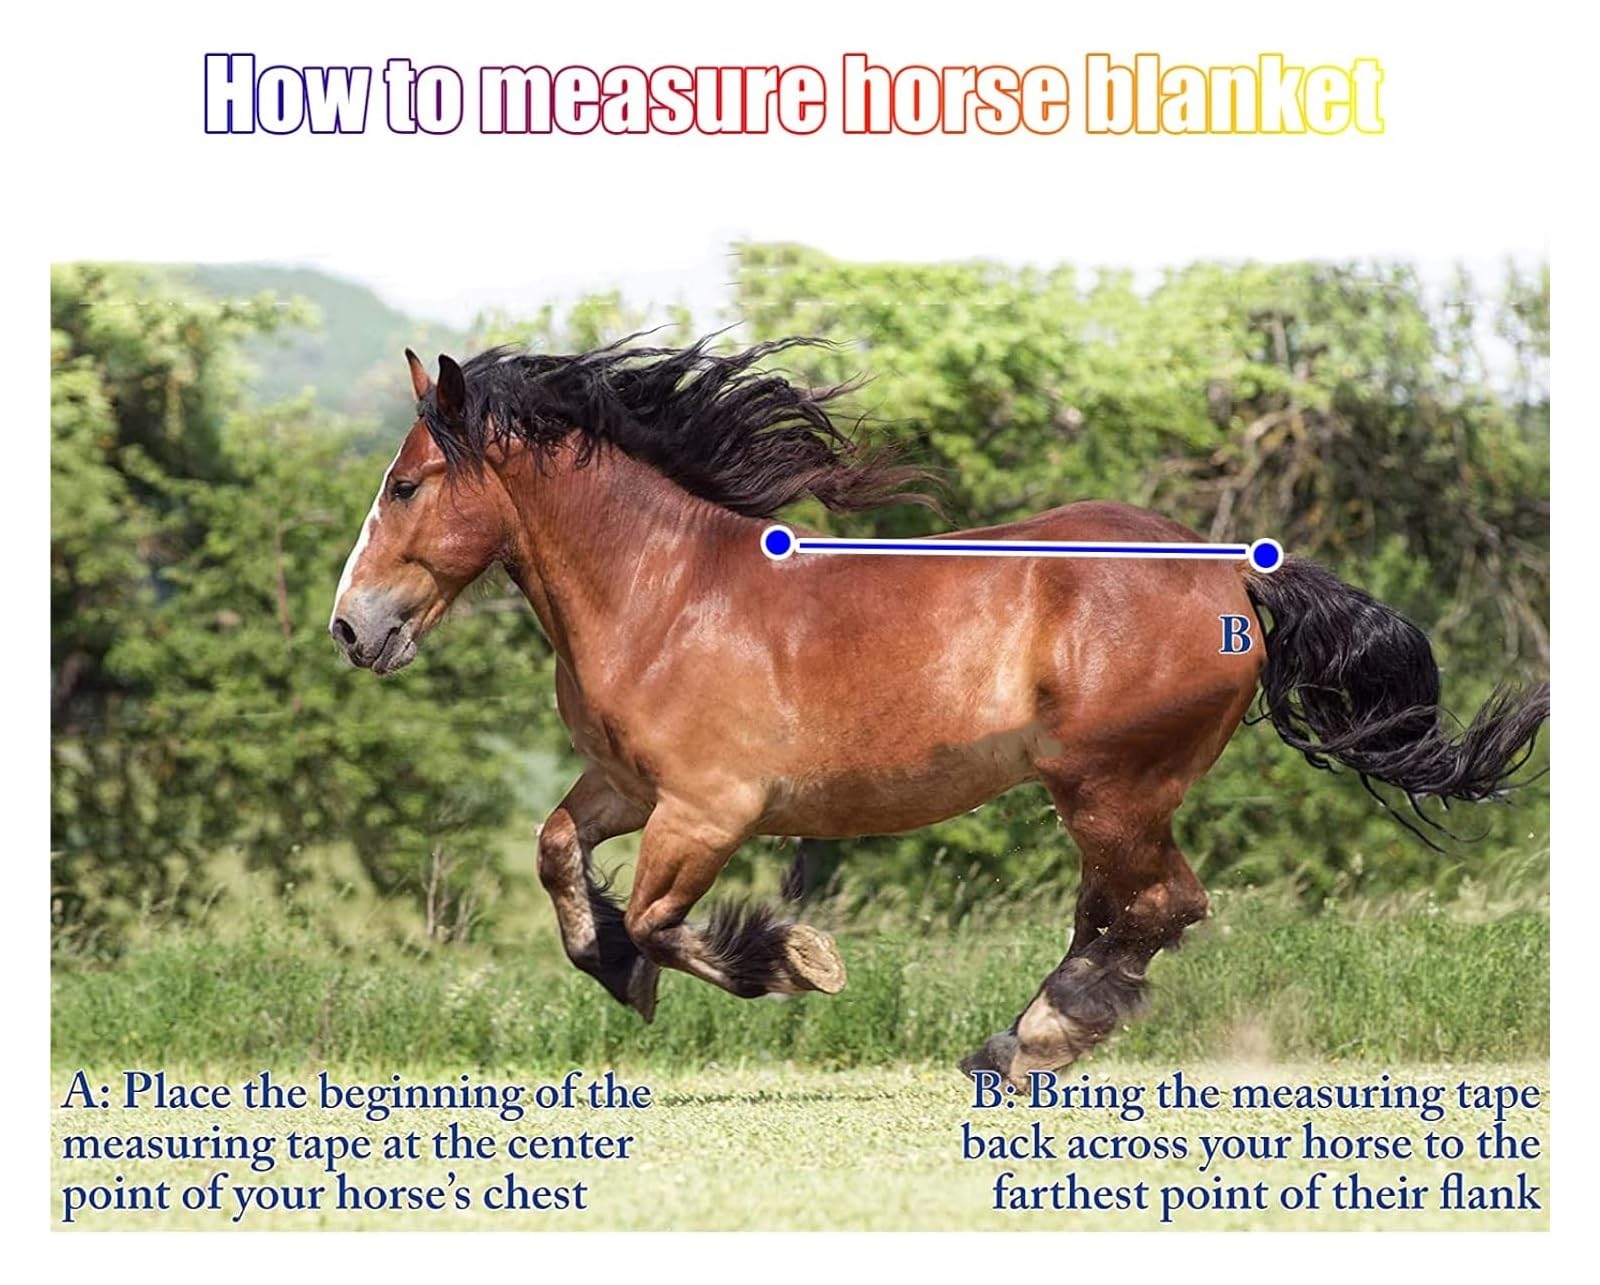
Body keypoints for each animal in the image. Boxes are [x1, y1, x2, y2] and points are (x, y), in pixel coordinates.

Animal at [328, 337, 1549, 1086]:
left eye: (406, 485)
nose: (351, 629)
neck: (662, 592)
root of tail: (1236, 578)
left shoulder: (709, 808)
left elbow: (667, 920)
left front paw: (794, 961)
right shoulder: (627, 787)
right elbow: (557, 854)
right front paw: (613, 964)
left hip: (1112, 784)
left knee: (1158, 906)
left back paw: (1030, 1041)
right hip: (1100, 794)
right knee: (1122, 911)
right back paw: (1028, 1035)